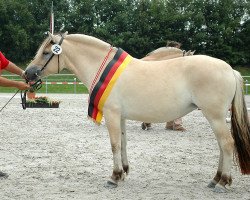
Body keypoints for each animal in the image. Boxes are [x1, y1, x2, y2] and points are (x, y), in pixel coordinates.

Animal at [24, 32, 250, 192]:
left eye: (46, 52)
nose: (28, 73)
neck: (104, 69)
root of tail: (230, 70)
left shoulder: (112, 115)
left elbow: (114, 145)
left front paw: (114, 177)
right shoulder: (121, 117)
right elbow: (123, 143)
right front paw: (124, 172)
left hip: (215, 116)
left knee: (227, 144)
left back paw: (223, 182)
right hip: (214, 117)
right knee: (222, 146)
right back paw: (215, 179)